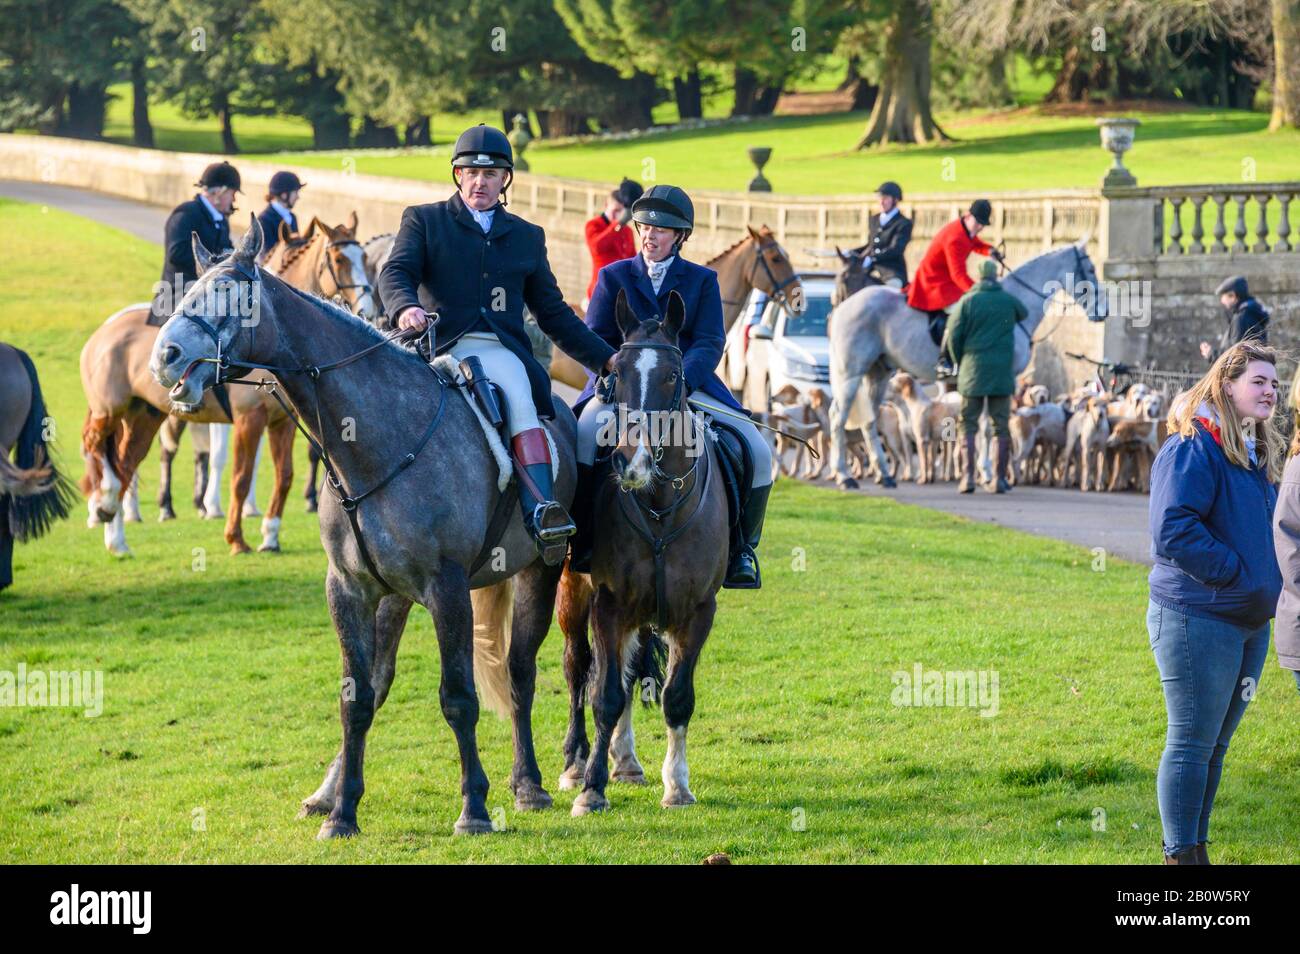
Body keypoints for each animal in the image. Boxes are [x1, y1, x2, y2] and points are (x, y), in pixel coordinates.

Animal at [150, 214, 574, 837]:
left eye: (234, 298)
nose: (165, 358)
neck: (376, 442)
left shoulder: (447, 587)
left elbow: (458, 696)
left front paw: (473, 807)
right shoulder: (350, 588)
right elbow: (357, 696)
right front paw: (342, 813)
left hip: (540, 571)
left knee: (521, 672)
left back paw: (533, 783)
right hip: (396, 595)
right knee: (385, 677)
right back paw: (329, 793)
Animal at [553, 289, 733, 816]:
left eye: (673, 375)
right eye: (618, 373)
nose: (629, 461)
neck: (659, 506)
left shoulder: (698, 611)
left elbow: (676, 696)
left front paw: (677, 786)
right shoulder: (609, 605)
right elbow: (604, 696)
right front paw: (592, 790)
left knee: (630, 673)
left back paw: (628, 761)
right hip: (574, 595)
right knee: (578, 670)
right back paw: (576, 765)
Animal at [832, 239, 1107, 493]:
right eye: (1091, 269)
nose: (1103, 311)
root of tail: (843, 307)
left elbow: (984, 427)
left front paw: (985, 474)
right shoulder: (999, 380)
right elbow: (987, 429)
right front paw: (988, 475)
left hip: (877, 374)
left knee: (868, 421)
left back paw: (884, 475)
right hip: (851, 373)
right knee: (838, 417)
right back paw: (844, 476)